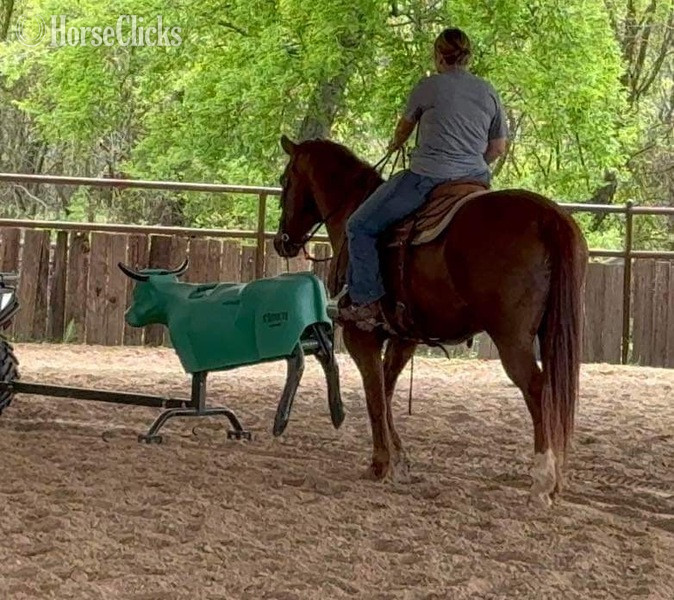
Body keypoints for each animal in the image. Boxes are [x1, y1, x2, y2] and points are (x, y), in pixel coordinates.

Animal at [273, 135, 588, 506]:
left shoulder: (358, 335)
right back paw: (556, 480)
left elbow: (374, 395)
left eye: (285, 180)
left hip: (512, 339)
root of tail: (548, 217)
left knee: (537, 390)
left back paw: (541, 482)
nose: (282, 242)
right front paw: (400, 459)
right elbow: (386, 391)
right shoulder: (404, 338)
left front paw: (380, 464)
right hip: (551, 331)